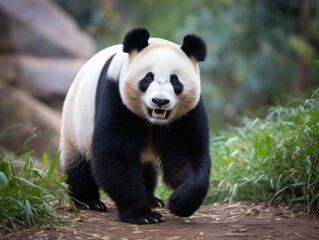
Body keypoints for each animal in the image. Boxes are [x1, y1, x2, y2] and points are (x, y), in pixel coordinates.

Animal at [60, 28, 211, 225]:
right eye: (148, 77)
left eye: (175, 80)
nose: (160, 101)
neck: (153, 121)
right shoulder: (116, 97)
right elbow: (114, 153)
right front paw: (143, 214)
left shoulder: (186, 114)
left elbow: (186, 154)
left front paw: (180, 201)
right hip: (75, 122)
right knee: (78, 163)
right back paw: (88, 201)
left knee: (146, 168)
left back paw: (153, 199)